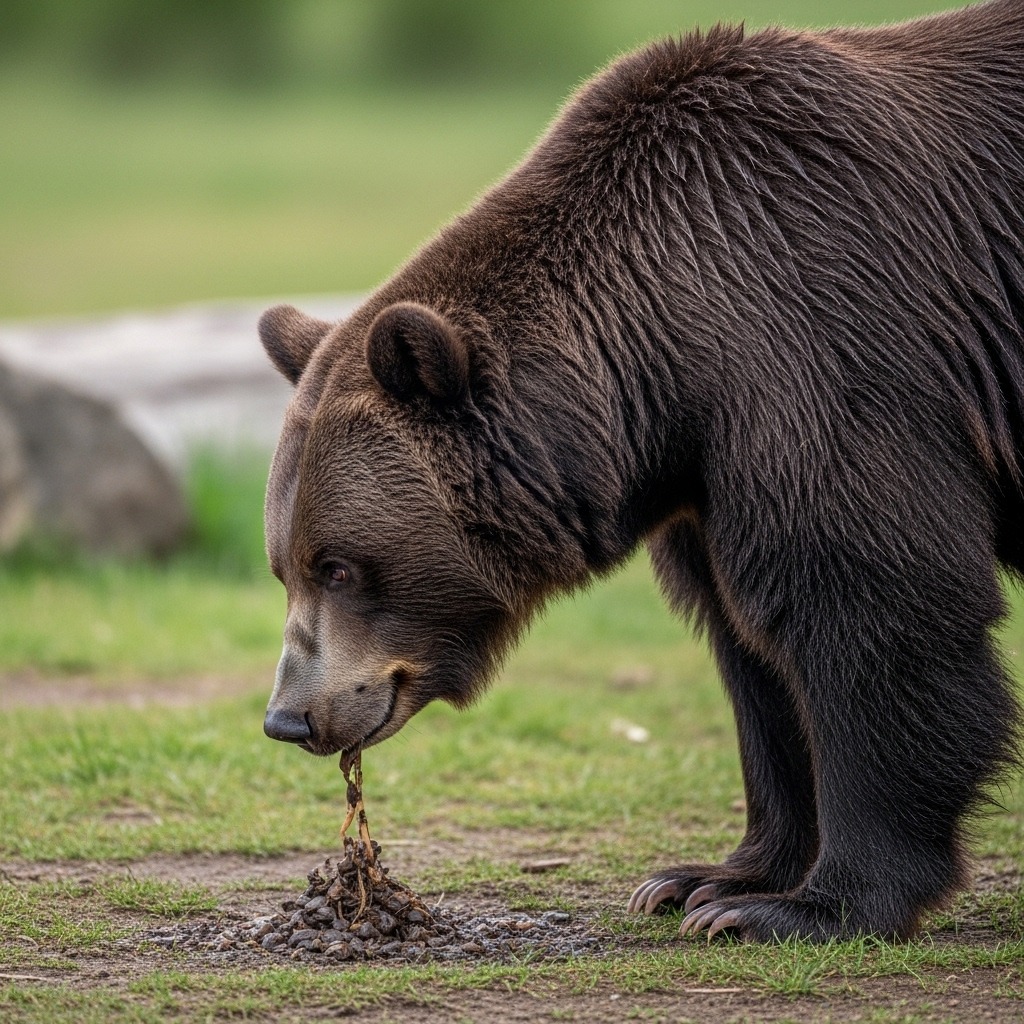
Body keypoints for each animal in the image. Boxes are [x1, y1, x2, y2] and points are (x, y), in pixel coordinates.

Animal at [259, 0, 1024, 943]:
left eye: (338, 565)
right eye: (284, 566)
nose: (291, 716)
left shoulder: (827, 343)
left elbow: (872, 603)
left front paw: (803, 906)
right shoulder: (706, 477)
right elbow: (750, 645)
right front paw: (707, 878)